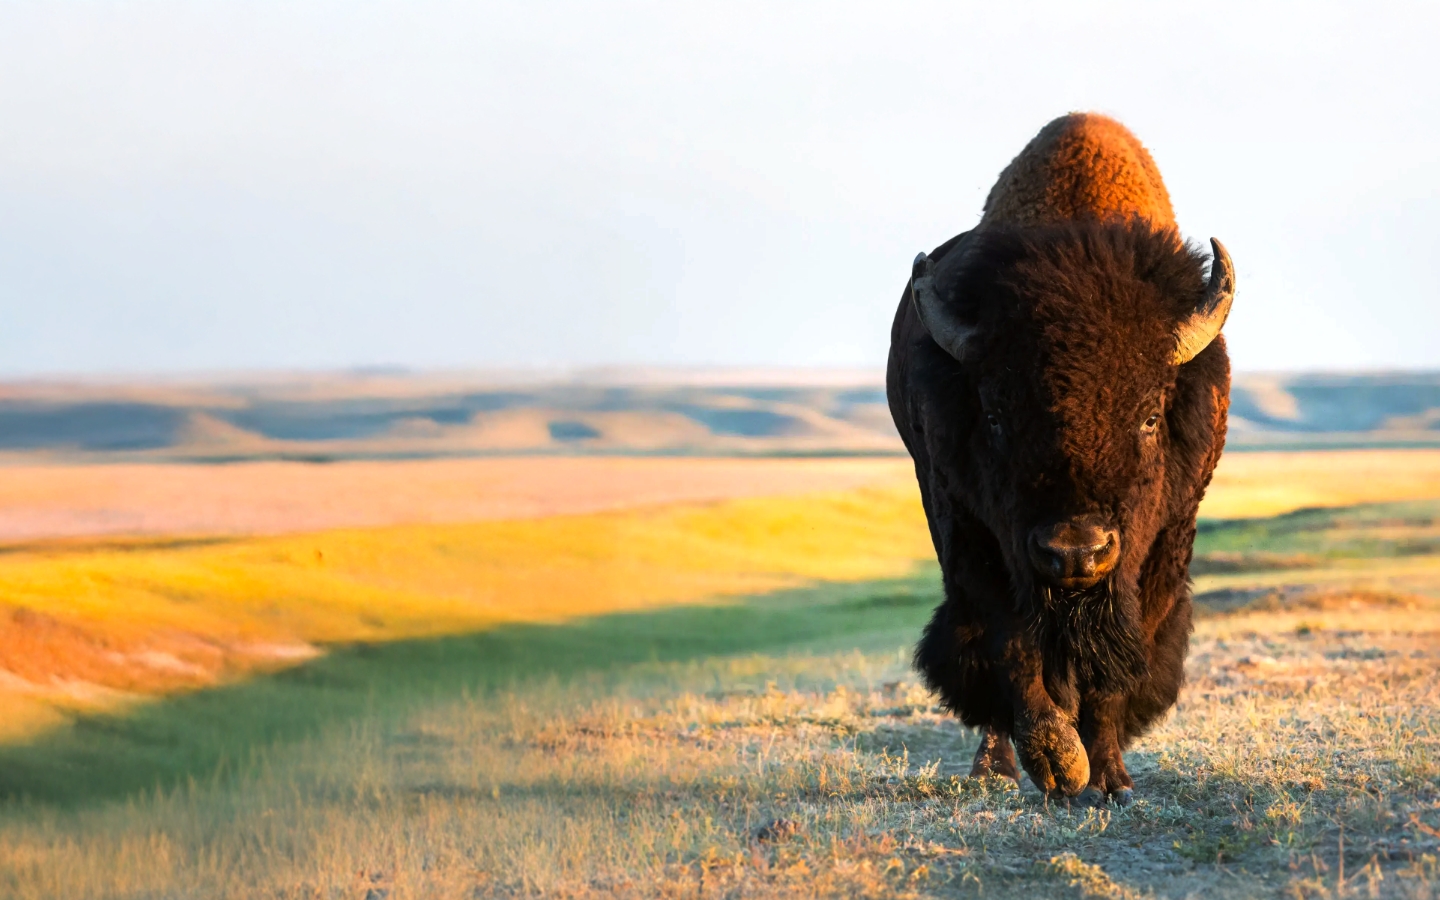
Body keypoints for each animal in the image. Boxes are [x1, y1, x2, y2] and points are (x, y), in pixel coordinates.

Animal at [887, 113, 1234, 804]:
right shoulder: (972, 531)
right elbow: (1011, 644)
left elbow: (1113, 668)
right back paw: (996, 766)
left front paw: (1109, 779)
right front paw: (1057, 762)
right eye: (995, 416)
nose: (1076, 552)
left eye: (1149, 416)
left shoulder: (1160, 548)